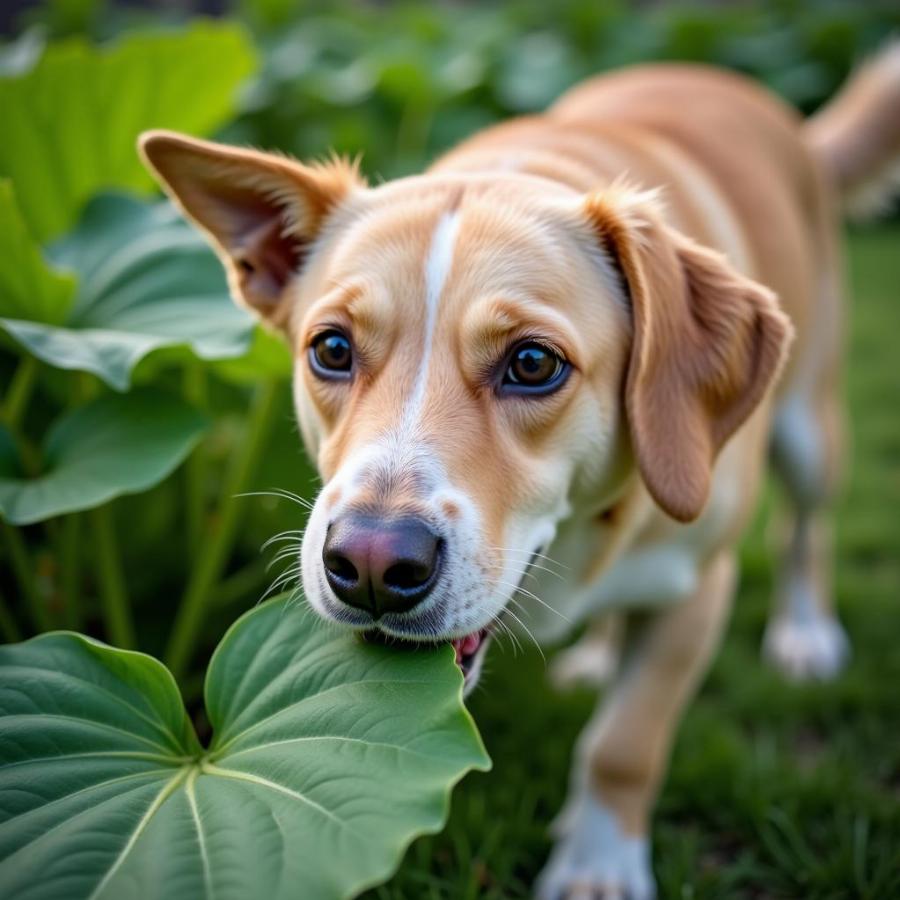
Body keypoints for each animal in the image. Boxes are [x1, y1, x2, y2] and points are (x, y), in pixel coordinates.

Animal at [141, 47, 900, 900]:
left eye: (534, 363)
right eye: (330, 349)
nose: (368, 565)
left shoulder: (699, 591)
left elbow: (623, 744)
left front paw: (598, 867)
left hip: (811, 431)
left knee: (807, 530)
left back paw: (804, 633)